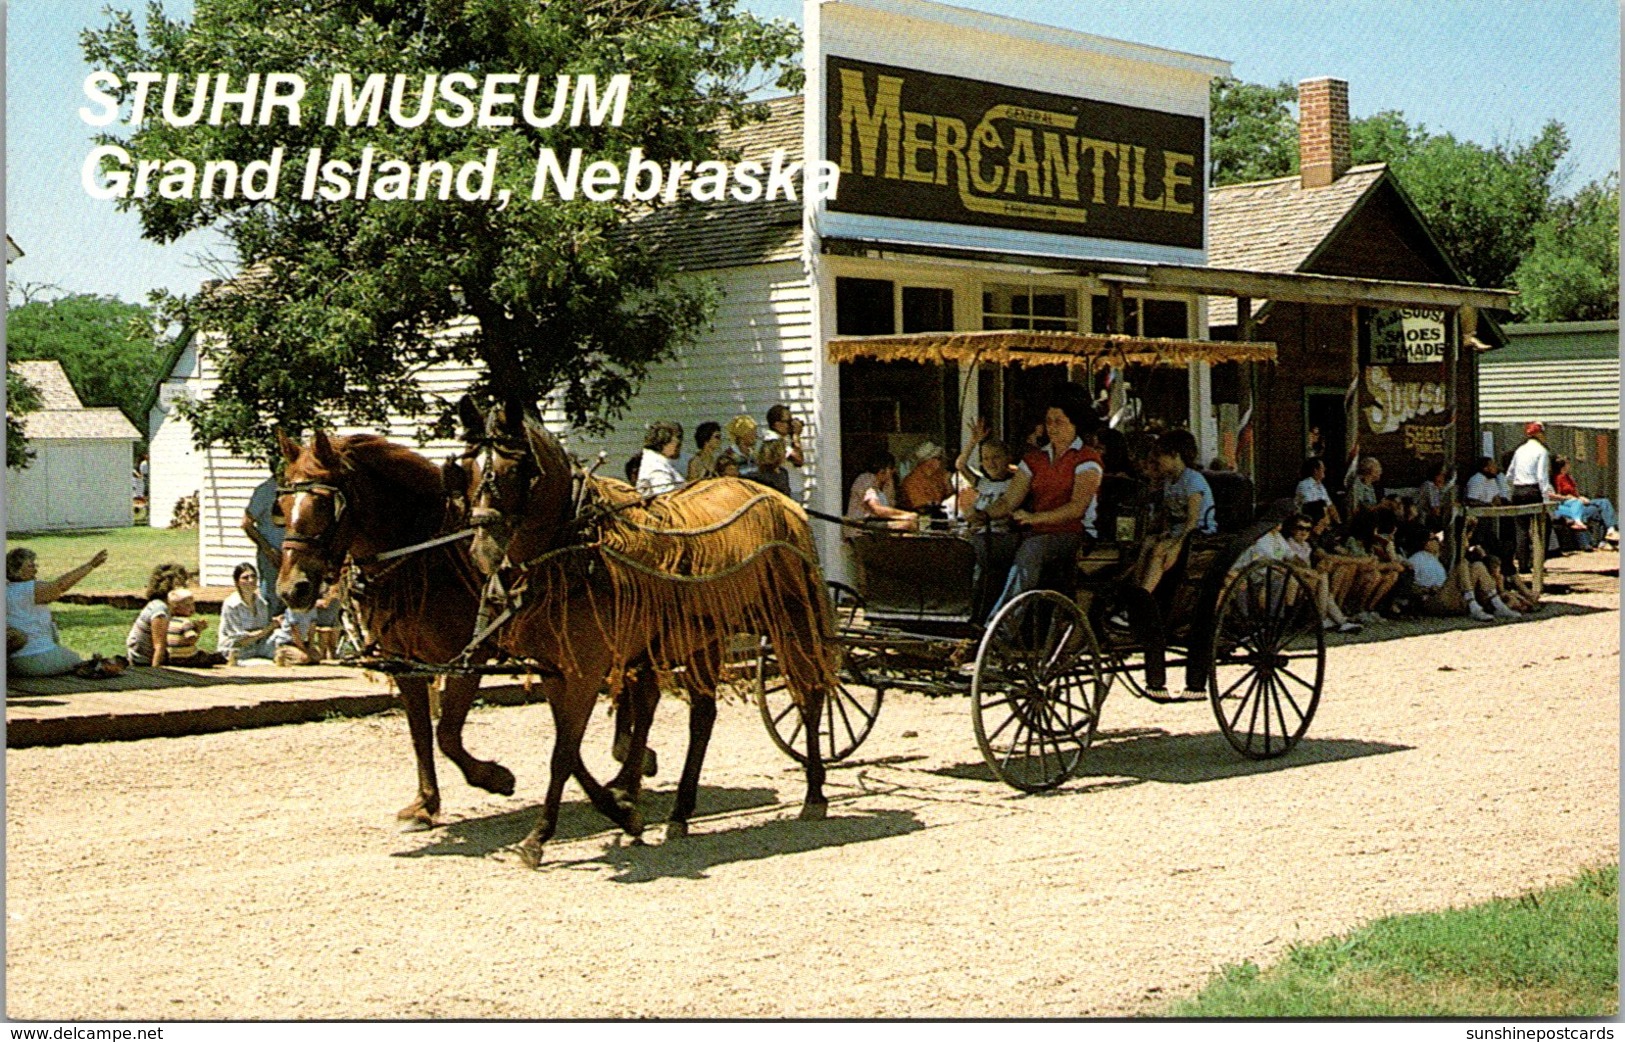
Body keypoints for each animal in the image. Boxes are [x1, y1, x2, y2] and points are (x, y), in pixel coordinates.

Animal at [273, 425, 513, 825]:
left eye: (323, 504)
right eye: (283, 507)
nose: (293, 589)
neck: (425, 554)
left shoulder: (470, 655)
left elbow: (447, 733)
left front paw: (494, 777)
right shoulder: (404, 662)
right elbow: (421, 733)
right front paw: (426, 803)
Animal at [458, 393, 838, 864]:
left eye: (513, 468)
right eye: (469, 466)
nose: (482, 550)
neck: (580, 548)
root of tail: (779, 501)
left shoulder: (586, 671)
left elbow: (563, 754)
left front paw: (543, 835)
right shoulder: (556, 669)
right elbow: (572, 750)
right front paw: (622, 807)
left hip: (791, 620)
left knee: (809, 696)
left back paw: (815, 793)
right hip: (705, 637)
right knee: (703, 718)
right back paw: (680, 812)